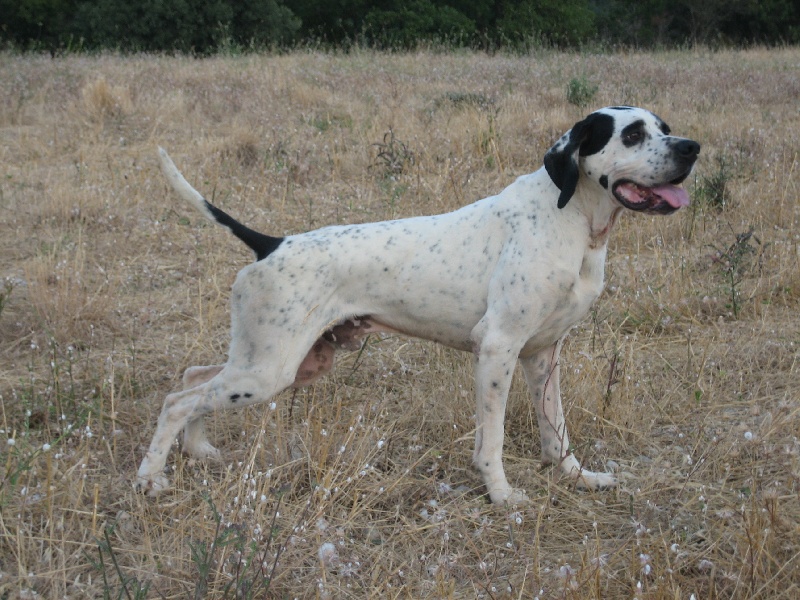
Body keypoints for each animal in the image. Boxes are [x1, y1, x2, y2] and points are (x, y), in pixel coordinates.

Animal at [136, 106, 699, 504]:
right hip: (266, 371)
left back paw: (199, 449)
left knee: (192, 379)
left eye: (665, 128)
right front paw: (502, 495)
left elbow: (556, 432)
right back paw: (150, 479)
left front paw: (577, 478)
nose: (692, 148)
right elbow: (491, 440)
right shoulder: (497, 348)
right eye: (631, 135)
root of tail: (271, 243)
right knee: (177, 400)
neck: (573, 220)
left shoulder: (543, 355)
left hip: (281, 363)